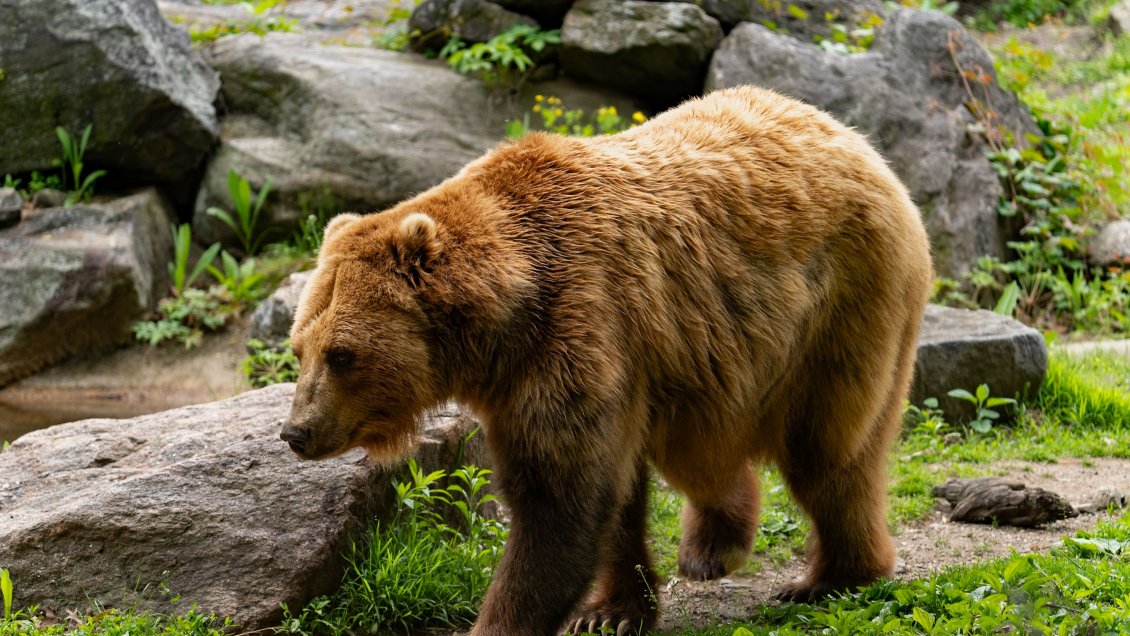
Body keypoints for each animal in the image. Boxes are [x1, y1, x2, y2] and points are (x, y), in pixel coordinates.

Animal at [282, 85, 934, 636]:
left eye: (343, 354)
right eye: (299, 348)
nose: (296, 431)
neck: (502, 323)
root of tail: (852, 136)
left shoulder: (578, 325)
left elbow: (560, 500)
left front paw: (511, 616)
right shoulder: (546, 375)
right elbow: (611, 492)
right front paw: (611, 613)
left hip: (840, 307)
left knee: (827, 449)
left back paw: (832, 575)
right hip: (703, 358)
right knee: (702, 451)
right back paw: (712, 546)